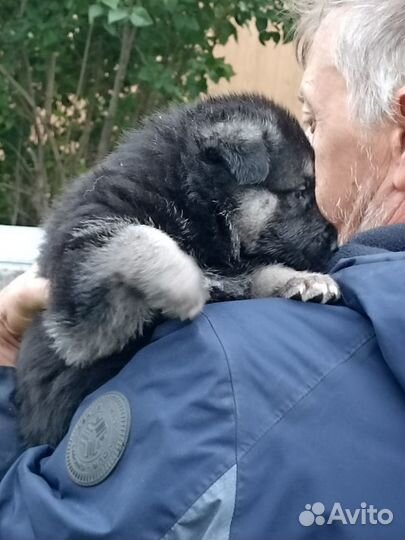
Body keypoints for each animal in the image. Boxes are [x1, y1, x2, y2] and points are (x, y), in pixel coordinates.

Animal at [15, 94, 338, 448]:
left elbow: (261, 273)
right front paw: (187, 280)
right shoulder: (81, 307)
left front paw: (302, 280)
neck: (193, 203)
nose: (335, 241)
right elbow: (141, 236)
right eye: (301, 192)